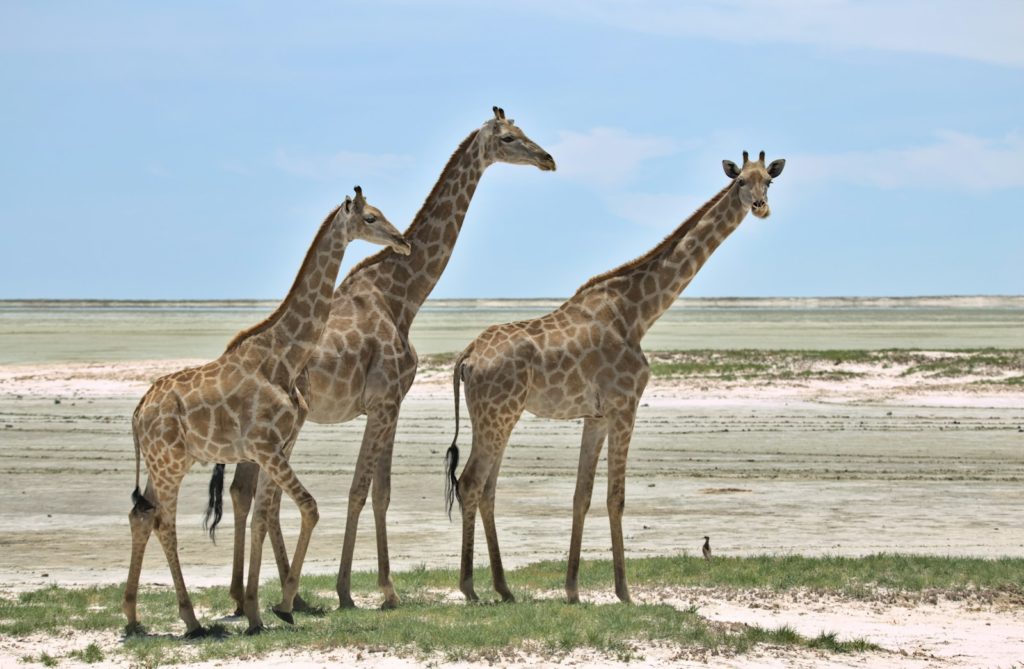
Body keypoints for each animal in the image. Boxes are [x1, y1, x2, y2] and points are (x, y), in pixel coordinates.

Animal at [122, 187, 410, 636]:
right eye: (371, 218)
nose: (402, 241)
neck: (284, 356)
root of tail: (137, 413)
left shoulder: (274, 448)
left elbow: (263, 516)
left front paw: (259, 611)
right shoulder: (267, 447)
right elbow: (307, 507)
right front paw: (282, 606)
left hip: (165, 462)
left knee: (142, 517)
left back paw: (133, 617)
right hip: (169, 464)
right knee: (163, 523)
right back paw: (191, 619)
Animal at [206, 107, 556, 613]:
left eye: (525, 130)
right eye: (510, 138)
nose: (548, 158)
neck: (403, 296)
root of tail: (229, 353)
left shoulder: (391, 404)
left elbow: (380, 492)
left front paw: (374, 588)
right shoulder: (385, 401)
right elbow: (361, 491)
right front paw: (360, 590)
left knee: (242, 491)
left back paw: (252, 595)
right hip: (283, 426)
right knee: (254, 494)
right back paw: (275, 595)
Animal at [445, 151, 785, 604]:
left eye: (769, 180)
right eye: (740, 182)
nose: (761, 206)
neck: (638, 313)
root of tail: (466, 356)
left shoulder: (596, 416)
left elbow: (581, 496)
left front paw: (572, 590)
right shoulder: (626, 406)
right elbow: (616, 498)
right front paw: (625, 592)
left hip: (498, 416)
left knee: (487, 489)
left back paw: (504, 587)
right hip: (497, 414)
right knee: (470, 483)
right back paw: (469, 588)